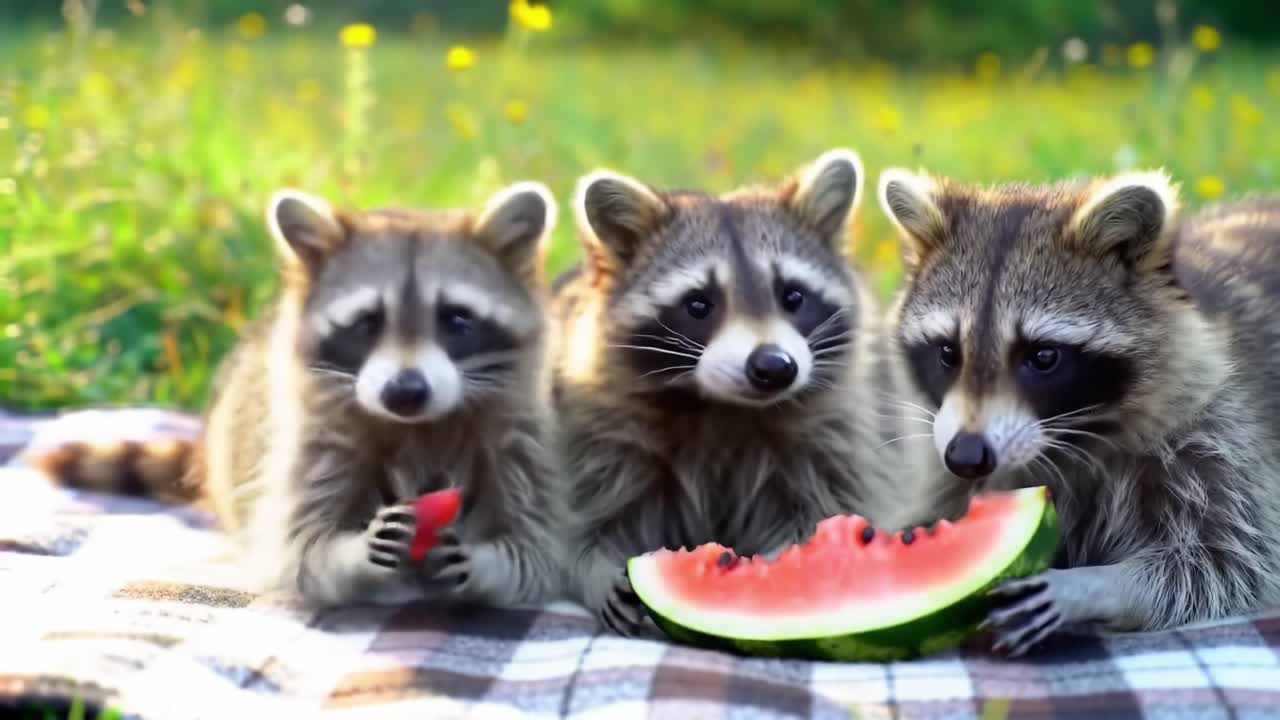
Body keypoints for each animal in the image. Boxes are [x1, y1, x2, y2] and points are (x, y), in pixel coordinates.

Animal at [37, 183, 569, 611]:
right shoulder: (311, 443)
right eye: (367, 322)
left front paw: (487, 566)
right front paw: (349, 557)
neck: (416, 426)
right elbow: (297, 553)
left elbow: (537, 556)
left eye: (456, 319)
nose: (404, 392)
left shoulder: (525, 443)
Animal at [551, 149, 917, 636]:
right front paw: (596, 568)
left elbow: (829, 506)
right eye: (698, 305)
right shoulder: (597, 434)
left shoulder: (844, 431)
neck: (723, 406)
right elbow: (583, 520)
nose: (774, 367)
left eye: (793, 297)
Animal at [878, 166, 1280, 656]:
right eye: (948, 353)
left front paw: (1102, 586)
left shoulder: (1217, 433)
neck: (1071, 434)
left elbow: (1225, 562)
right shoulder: (938, 453)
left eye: (1043, 357)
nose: (967, 456)